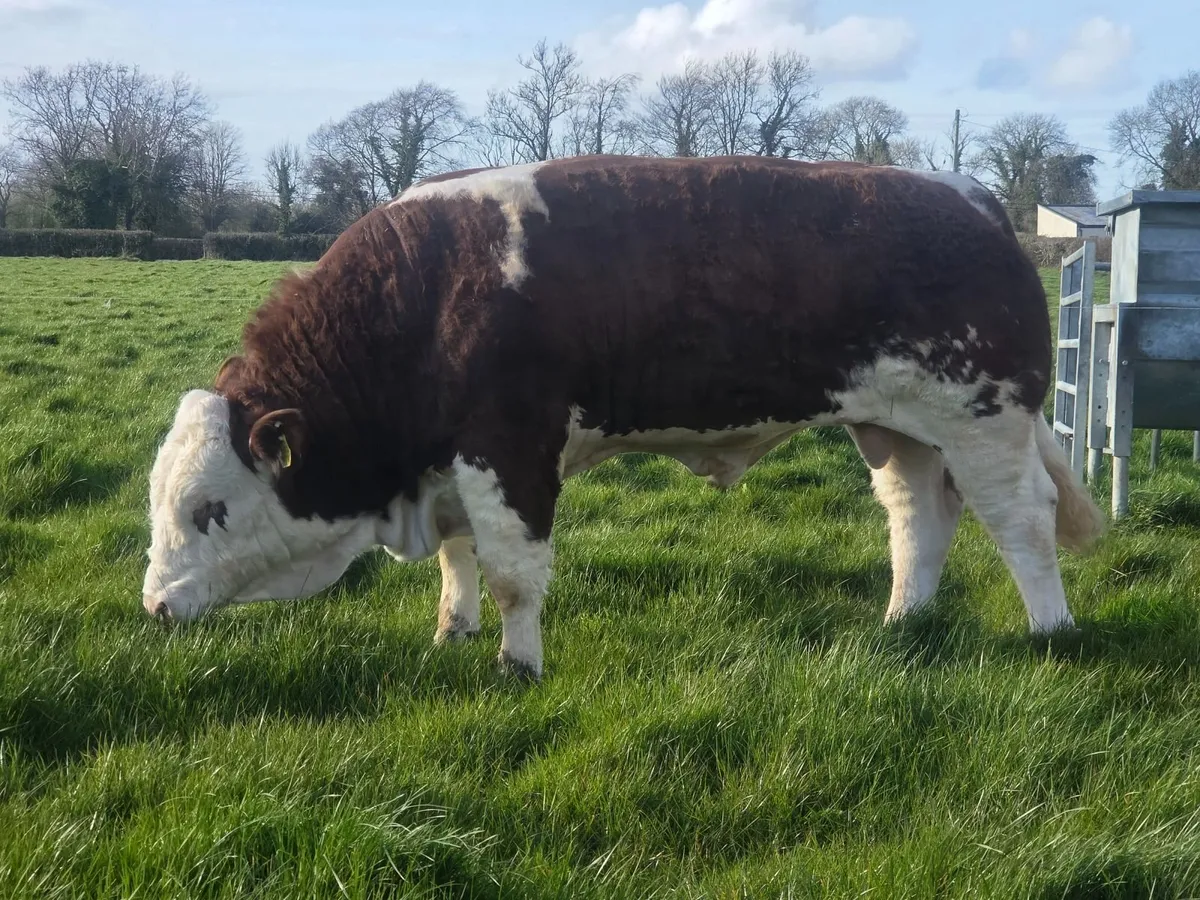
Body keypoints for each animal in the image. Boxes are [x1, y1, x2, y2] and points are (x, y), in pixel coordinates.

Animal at [141, 154, 1106, 681]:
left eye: (209, 508)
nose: (154, 605)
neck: (427, 291)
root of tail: (969, 196)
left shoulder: (512, 450)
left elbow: (512, 575)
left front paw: (517, 666)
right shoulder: (447, 463)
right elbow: (457, 559)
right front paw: (452, 630)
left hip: (983, 417)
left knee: (1021, 520)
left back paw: (1051, 632)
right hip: (899, 429)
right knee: (918, 519)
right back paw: (904, 620)